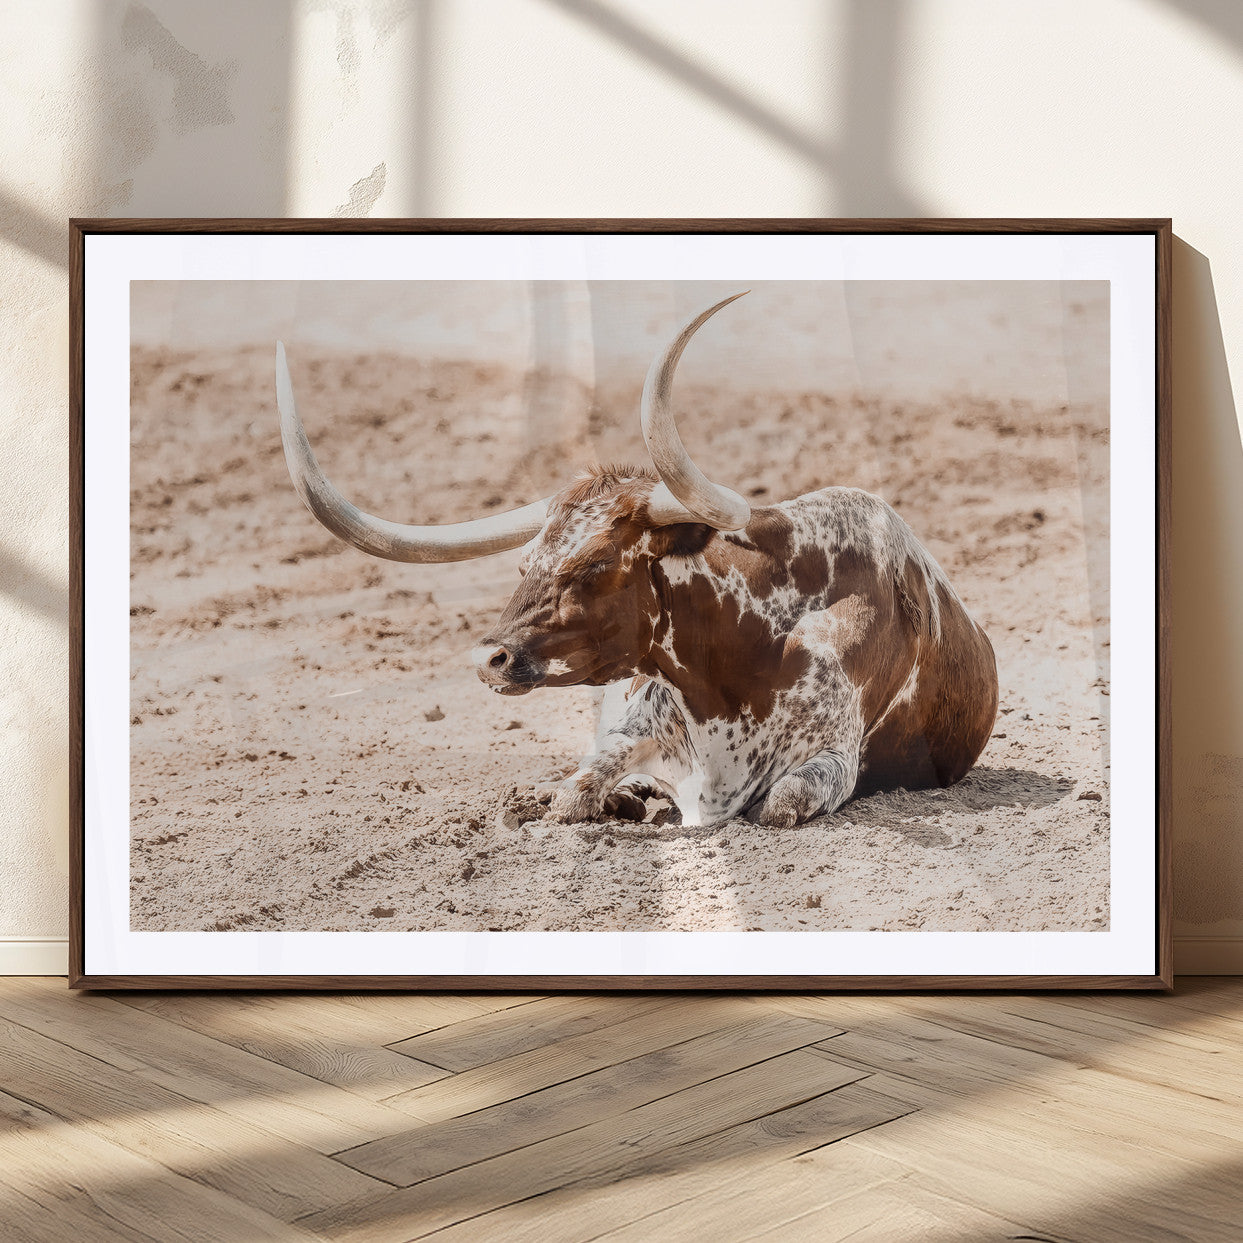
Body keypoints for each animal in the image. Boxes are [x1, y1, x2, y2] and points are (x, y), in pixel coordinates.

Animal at [276, 293, 998, 829]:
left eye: (595, 566)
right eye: (524, 563)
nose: (490, 659)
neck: (744, 658)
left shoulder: (831, 760)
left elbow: (778, 803)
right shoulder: (632, 724)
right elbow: (575, 791)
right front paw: (599, 798)